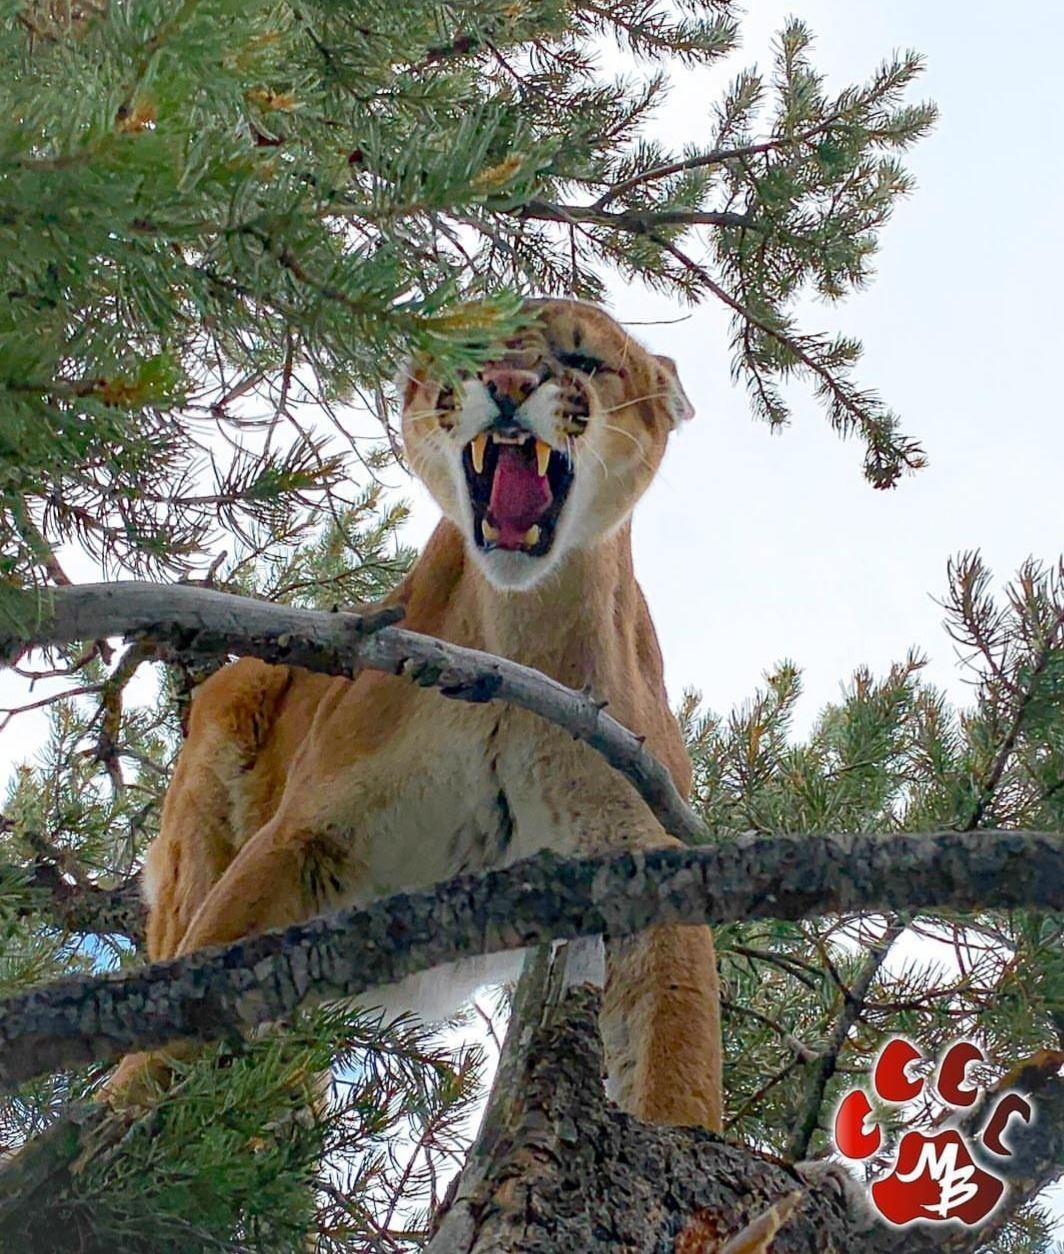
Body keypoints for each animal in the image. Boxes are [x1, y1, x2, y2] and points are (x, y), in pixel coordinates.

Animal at [109, 298, 723, 1132]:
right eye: (473, 347)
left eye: (583, 359)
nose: (507, 383)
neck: (519, 632)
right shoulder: (310, 830)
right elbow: (200, 977)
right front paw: (113, 1113)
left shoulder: (640, 851)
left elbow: (678, 1052)